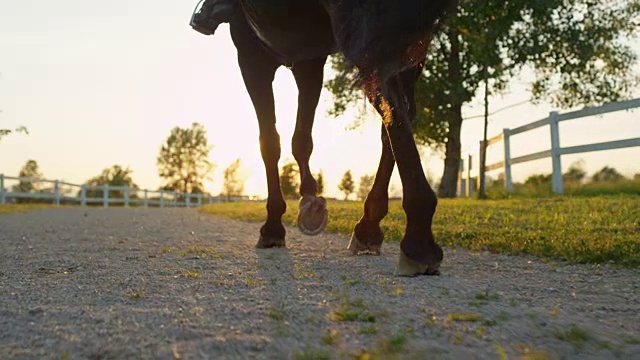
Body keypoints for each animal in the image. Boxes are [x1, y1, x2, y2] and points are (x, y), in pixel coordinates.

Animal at [195, 0, 456, 276]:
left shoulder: (252, 54)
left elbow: (270, 142)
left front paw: (275, 225)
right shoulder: (308, 59)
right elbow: (300, 139)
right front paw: (309, 202)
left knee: (387, 100)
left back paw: (417, 240)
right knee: (396, 118)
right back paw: (371, 227)